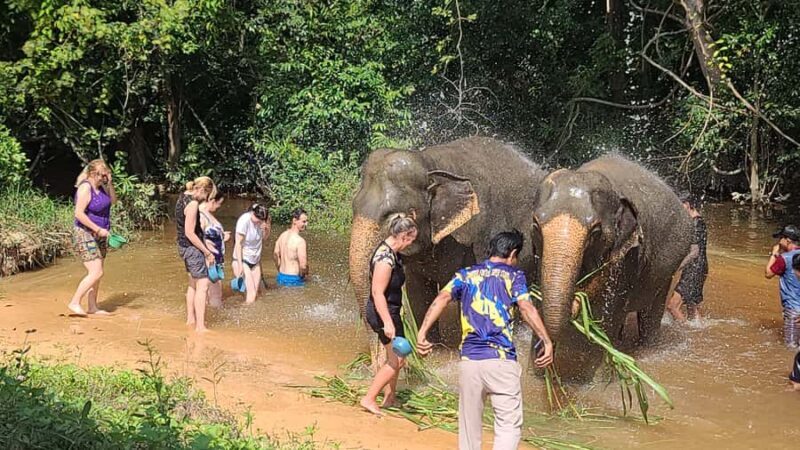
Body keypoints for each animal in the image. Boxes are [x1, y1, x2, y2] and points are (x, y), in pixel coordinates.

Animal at [349, 136, 547, 345]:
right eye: (354, 206)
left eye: (394, 217)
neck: (431, 163)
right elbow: (418, 295)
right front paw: (432, 347)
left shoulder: (471, 241)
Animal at [531, 153, 692, 382]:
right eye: (536, 225)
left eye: (595, 232)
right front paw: (540, 373)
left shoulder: (628, 257)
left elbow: (608, 316)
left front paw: (596, 380)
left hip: (666, 272)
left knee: (650, 313)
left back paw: (645, 348)